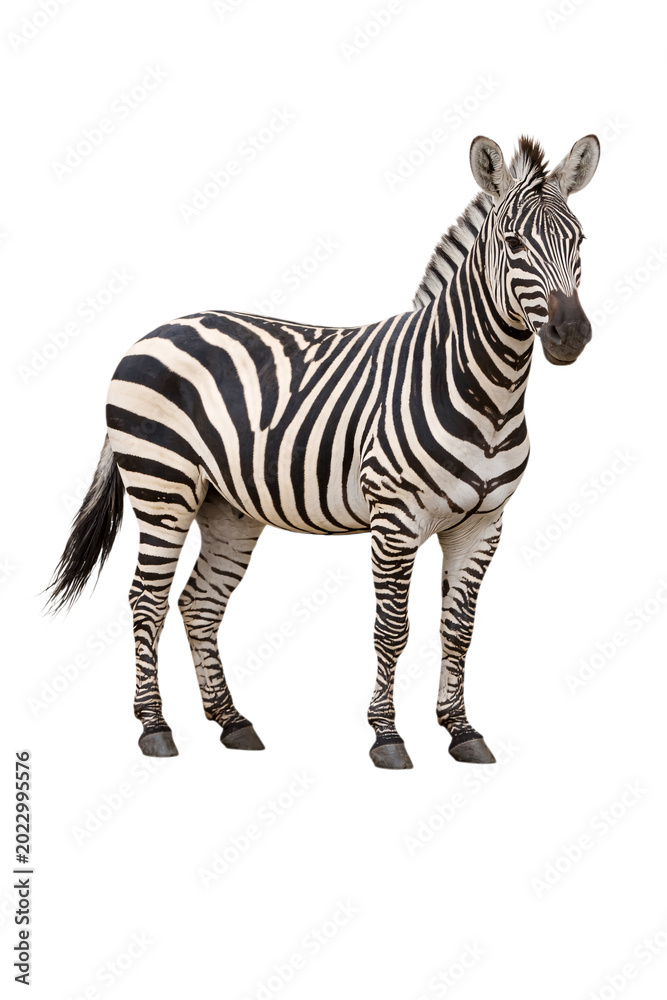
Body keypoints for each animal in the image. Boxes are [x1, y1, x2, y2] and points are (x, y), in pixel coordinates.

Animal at [48, 134, 600, 769]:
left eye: (580, 241)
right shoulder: (395, 519)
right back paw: (154, 727)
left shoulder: (484, 524)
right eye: (512, 243)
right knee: (147, 599)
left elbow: (458, 629)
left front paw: (461, 731)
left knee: (199, 602)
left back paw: (232, 722)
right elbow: (392, 628)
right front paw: (387, 736)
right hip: (163, 486)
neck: (486, 392)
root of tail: (156, 330)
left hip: (227, 507)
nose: (571, 335)